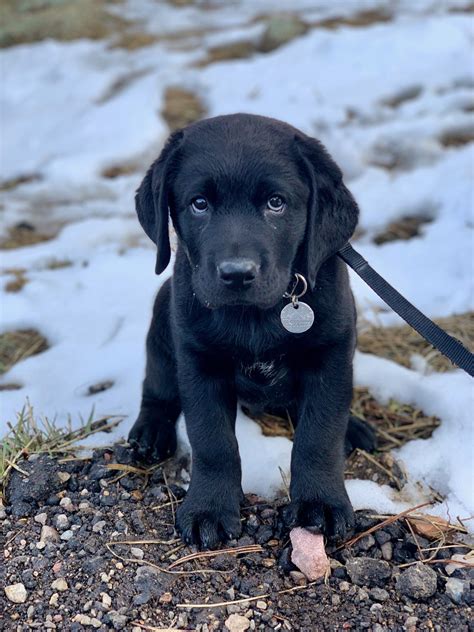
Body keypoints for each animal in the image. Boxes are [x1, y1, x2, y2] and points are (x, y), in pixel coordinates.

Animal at [129, 113, 374, 548]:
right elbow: (213, 442)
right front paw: (209, 509)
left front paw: (320, 503)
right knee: (157, 387)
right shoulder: (199, 362)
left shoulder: (330, 355)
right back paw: (151, 431)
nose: (237, 274)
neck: (258, 315)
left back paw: (354, 429)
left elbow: (319, 434)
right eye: (199, 203)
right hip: (162, 314)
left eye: (276, 203)